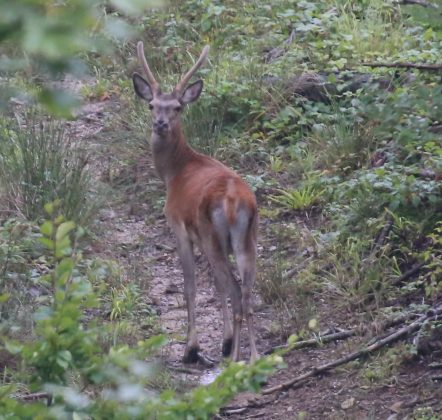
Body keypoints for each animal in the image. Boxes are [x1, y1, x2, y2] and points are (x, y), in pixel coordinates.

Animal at [131, 41, 258, 364]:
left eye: (177, 107)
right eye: (152, 105)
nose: (160, 124)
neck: (174, 172)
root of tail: (233, 201)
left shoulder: (178, 225)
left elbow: (190, 286)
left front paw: (191, 348)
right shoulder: (202, 238)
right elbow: (216, 286)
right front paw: (225, 341)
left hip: (213, 235)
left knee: (236, 292)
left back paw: (236, 358)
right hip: (247, 239)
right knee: (247, 293)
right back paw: (253, 356)